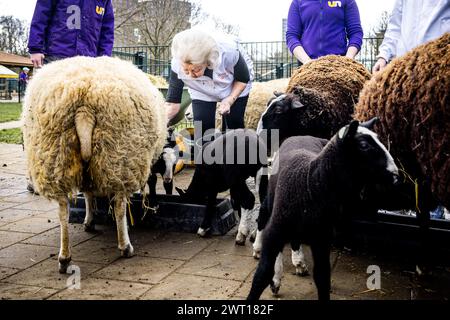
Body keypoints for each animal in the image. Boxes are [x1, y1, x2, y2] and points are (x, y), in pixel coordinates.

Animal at [248, 120, 400, 300]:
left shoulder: (321, 239)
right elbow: (262, 275)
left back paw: (298, 262)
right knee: (263, 216)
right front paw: (269, 281)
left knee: (294, 240)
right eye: (363, 145)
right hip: (271, 201)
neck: (311, 182)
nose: (396, 174)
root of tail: (301, 135)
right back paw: (265, 258)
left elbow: (322, 277)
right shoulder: (274, 233)